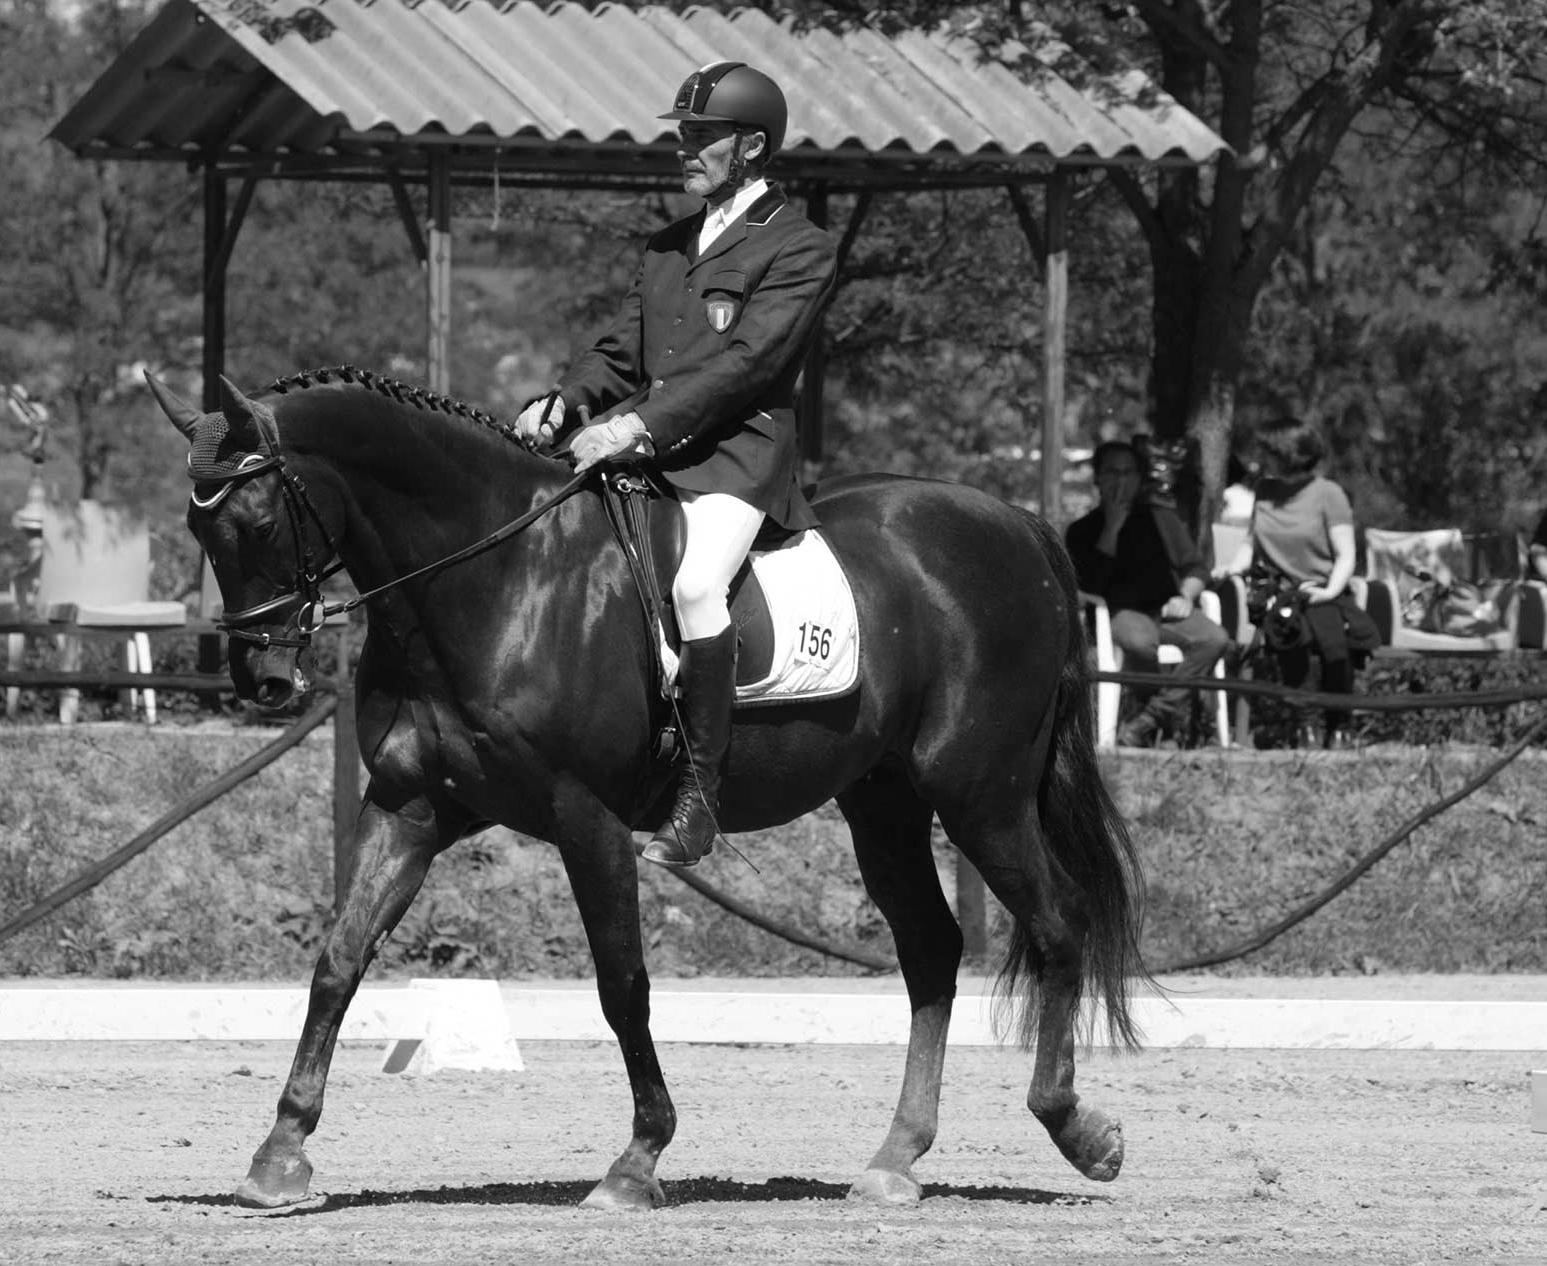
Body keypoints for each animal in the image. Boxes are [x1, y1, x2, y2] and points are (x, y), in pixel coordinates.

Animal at [150, 362, 1150, 1200]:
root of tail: (1018, 525)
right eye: (197, 527)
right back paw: (894, 1160)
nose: (262, 680)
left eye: (256, 521)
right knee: (932, 951)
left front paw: (637, 1161)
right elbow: (339, 961)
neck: (494, 578)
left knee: (1057, 922)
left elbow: (620, 981)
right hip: (884, 803)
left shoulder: (583, 815)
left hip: (978, 792)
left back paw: (1079, 1132)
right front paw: (280, 1155)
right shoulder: (410, 807)